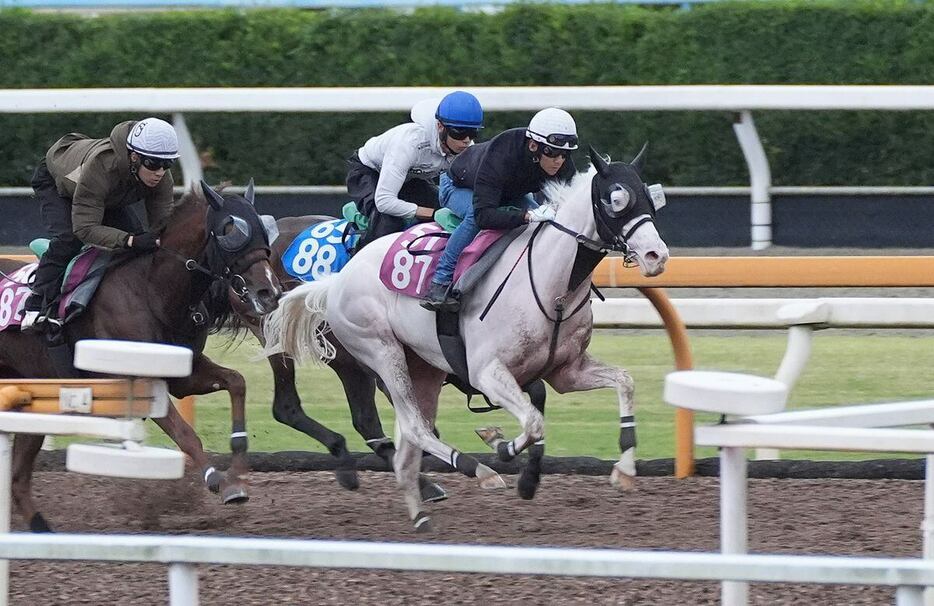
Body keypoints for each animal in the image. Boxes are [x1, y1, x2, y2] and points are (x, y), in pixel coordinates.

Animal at [0, 180, 282, 532]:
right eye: (229, 231)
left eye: (263, 231)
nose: (270, 292)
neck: (152, 291)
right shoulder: (141, 382)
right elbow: (186, 435)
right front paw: (219, 481)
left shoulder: (184, 374)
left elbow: (236, 381)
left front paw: (239, 470)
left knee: (18, 477)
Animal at [266, 147, 668, 532]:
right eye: (615, 200)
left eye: (649, 198)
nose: (657, 256)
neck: (554, 286)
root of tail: (337, 278)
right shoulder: (486, 372)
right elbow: (533, 421)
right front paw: (498, 444)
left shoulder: (567, 372)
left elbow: (624, 382)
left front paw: (624, 470)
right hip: (380, 352)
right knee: (413, 427)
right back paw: (479, 471)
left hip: (423, 369)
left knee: (408, 444)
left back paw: (420, 514)